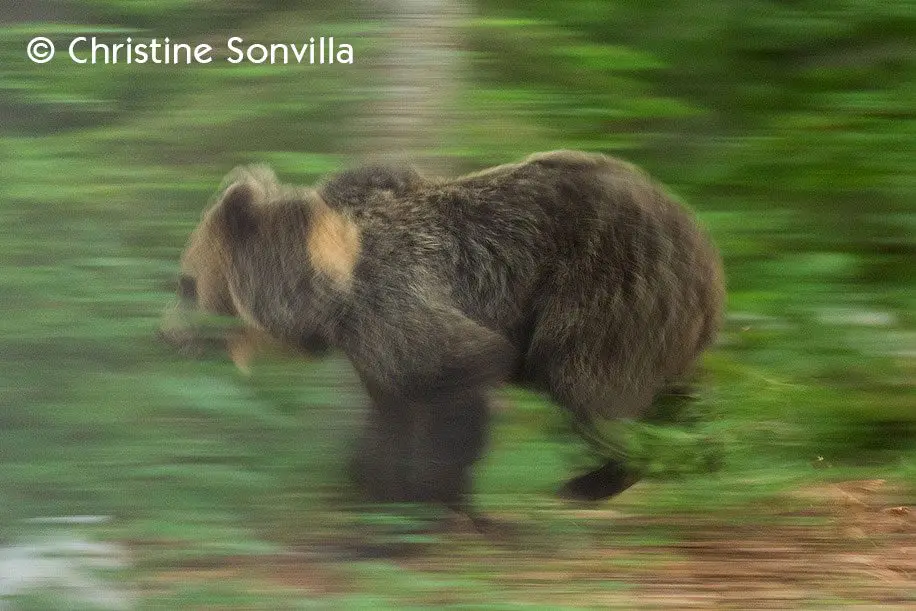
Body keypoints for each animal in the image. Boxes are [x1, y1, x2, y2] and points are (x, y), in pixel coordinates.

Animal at [159, 151, 728, 520]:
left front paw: (433, 497)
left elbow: (458, 375)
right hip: (662, 325)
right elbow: (392, 408)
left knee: (584, 381)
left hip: (605, 291)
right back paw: (698, 446)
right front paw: (374, 486)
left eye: (185, 284)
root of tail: (704, 244)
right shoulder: (368, 341)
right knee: (672, 389)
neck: (327, 292)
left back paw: (588, 483)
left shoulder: (396, 297)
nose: (166, 335)